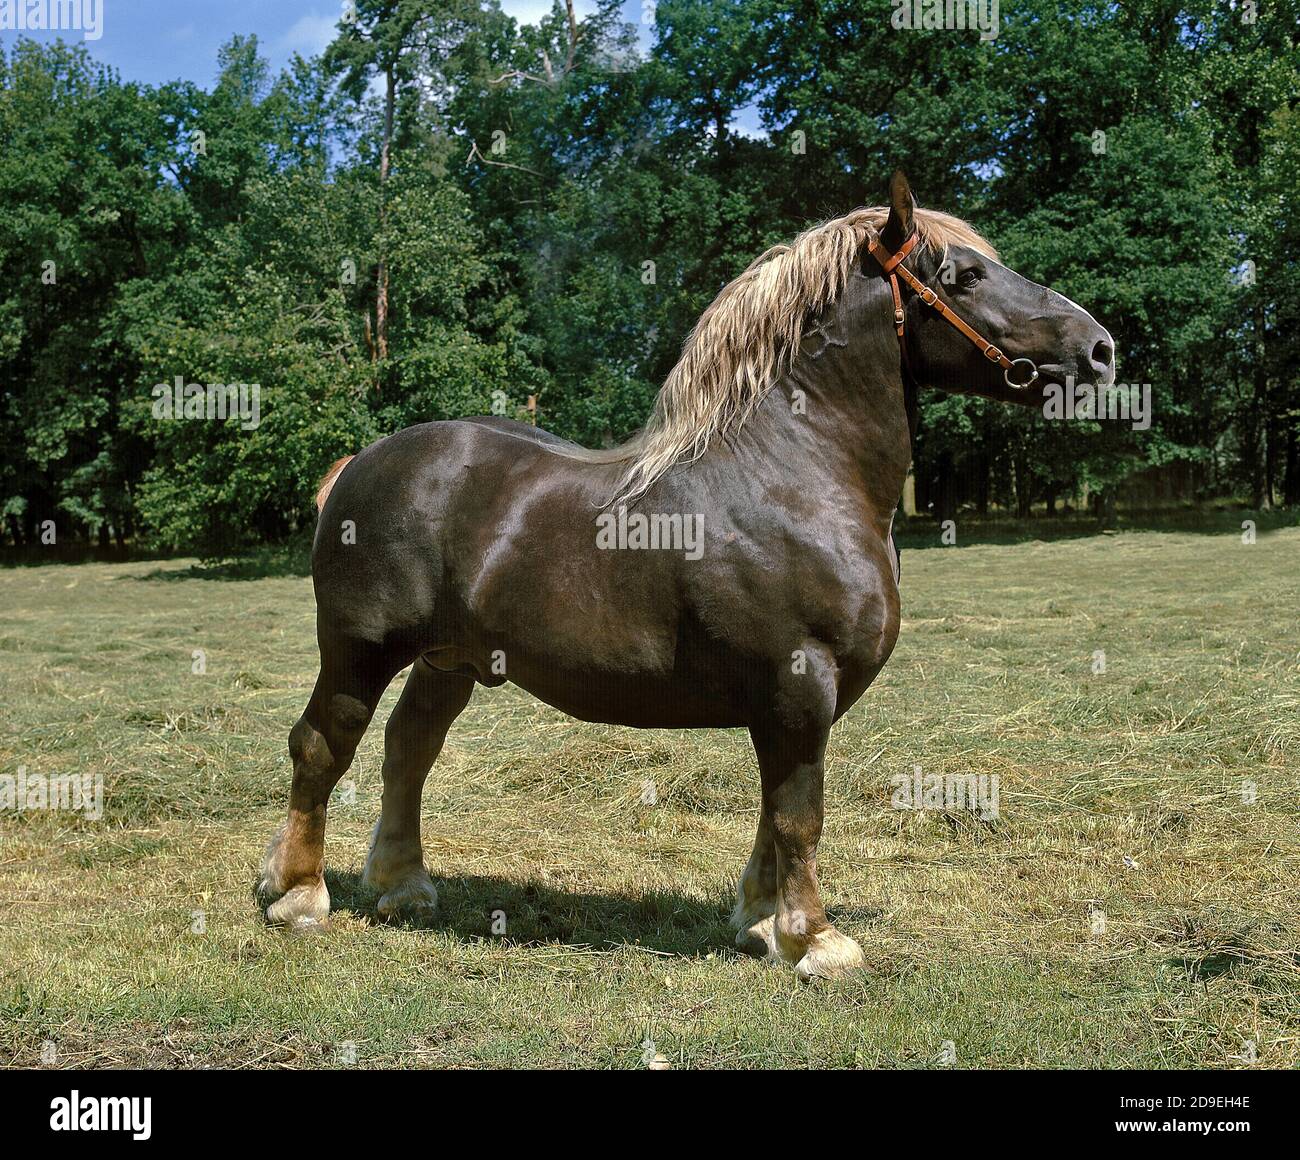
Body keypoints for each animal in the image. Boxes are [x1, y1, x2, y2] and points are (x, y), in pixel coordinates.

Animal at [258, 172, 1114, 979]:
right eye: (963, 273)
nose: (1101, 349)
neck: (793, 476)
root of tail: (361, 465)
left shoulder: (788, 704)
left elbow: (776, 808)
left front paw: (764, 924)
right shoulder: (799, 684)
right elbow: (801, 814)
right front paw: (817, 941)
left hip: (450, 661)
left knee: (409, 747)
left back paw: (402, 887)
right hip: (359, 651)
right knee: (322, 747)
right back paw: (297, 894)